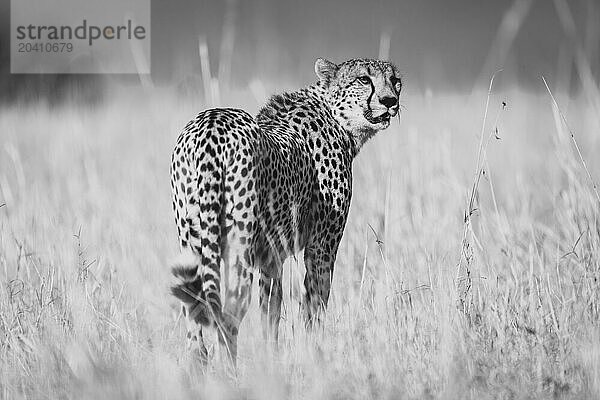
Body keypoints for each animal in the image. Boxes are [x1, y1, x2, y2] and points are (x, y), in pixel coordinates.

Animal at [169, 57, 404, 362]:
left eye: (396, 80)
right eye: (364, 79)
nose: (390, 101)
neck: (335, 115)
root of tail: (211, 121)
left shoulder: (271, 257)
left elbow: (271, 309)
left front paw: (272, 358)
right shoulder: (321, 247)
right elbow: (315, 304)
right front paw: (315, 353)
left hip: (192, 241)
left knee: (194, 323)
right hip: (238, 247)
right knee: (229, 314)